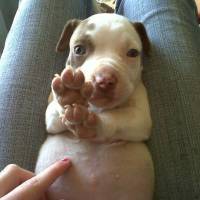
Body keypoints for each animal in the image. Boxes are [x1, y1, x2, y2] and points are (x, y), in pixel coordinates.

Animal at [35, 13, 155, 200]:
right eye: (79, 49)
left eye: (133, 53)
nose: (105, 80)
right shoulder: (51, 116)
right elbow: (56, 112)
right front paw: (69, 96)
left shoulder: (139, 119)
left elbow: (117, 117)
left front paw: (94, 124)